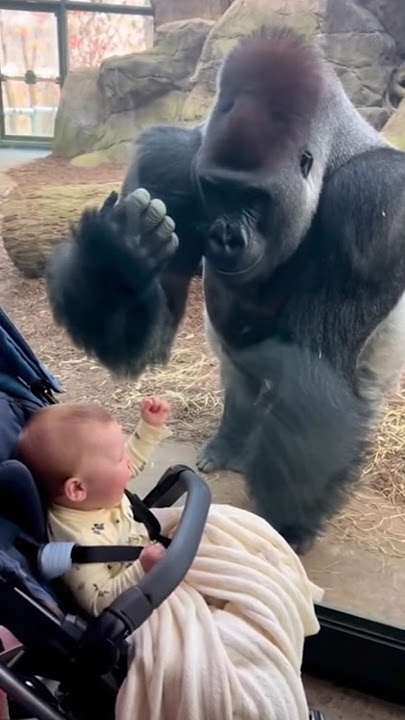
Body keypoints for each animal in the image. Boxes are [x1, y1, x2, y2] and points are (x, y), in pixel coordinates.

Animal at [46, 26, 405, 552]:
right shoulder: (170, 162)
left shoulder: (374, 202)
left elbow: (318, 374)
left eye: (254, 197)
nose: (225, 237)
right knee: (241, 381)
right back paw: (232, 438)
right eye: (217, 190)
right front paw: (119, 256)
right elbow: (148, 337)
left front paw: (286, 527)